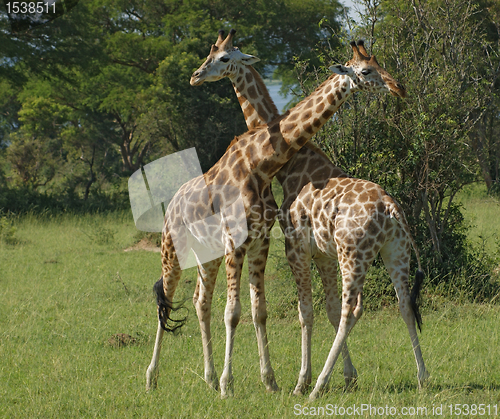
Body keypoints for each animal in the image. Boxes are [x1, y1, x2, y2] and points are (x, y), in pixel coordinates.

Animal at [146, 32, 408, 398]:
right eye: (366, 70)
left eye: (223, 58)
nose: (195, 76)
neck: (263, 164)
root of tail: (171, 204)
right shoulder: (246, 243)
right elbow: (239, 312)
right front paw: (234, 385)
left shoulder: (265, 243)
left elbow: (265, 311)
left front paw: (273, 380)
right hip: (175, 249)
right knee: (170, 301)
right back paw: (155, 378)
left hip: (209, 255)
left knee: (199, 301)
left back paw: (208, 378)